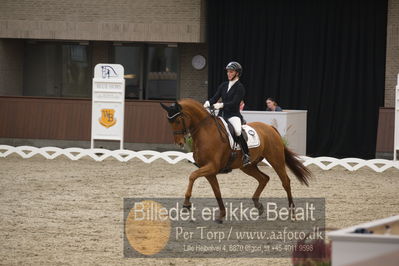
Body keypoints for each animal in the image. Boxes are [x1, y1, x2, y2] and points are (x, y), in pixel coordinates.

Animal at [161, 97, 310, 222]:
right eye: (169, 122)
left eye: (178, 120)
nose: (179, 143)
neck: (206, 132)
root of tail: (270, 128)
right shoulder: (209, 171)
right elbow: (217, 191)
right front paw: (221, 215)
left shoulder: (211, 167)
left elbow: (192, 176)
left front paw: (186, 204)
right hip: (247, 166)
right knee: (264, 178)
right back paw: (258, 205)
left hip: (276, 160)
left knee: (285, 182)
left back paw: (292, 213)